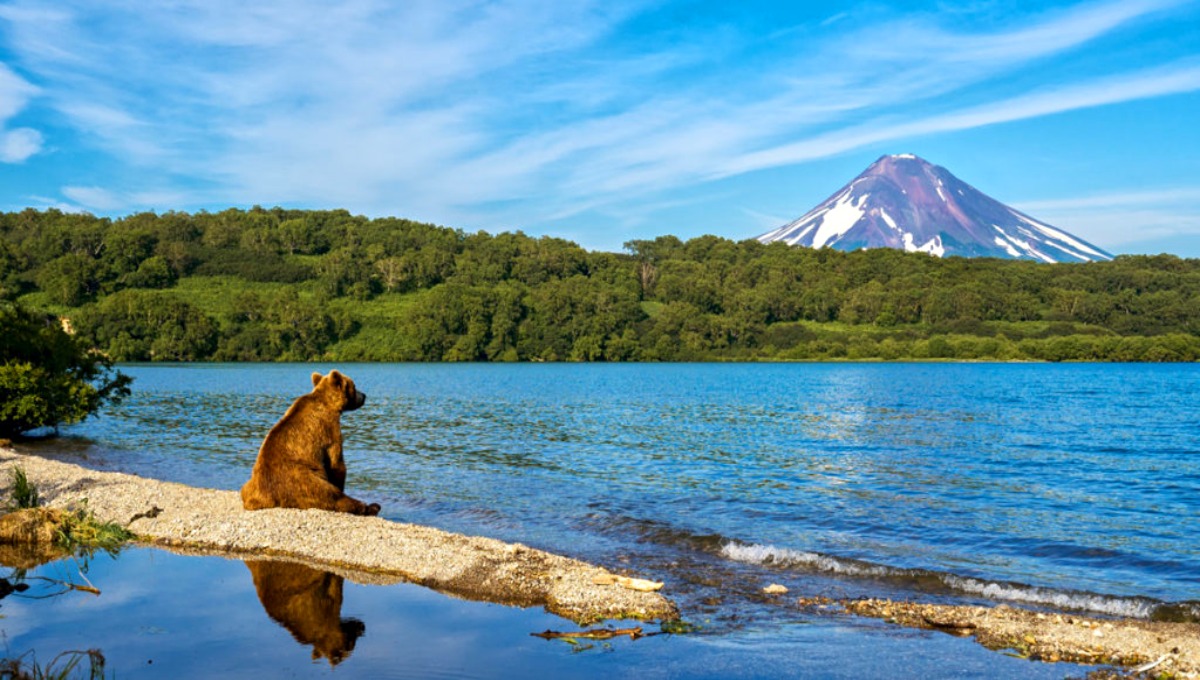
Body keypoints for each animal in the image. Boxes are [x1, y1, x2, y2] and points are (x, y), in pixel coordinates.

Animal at [240, 371, 379, 515]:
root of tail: (263, 498)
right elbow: (336, 463)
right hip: (302, 480)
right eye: (354, 386)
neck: (328, 402)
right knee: (330, 496)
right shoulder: (329, 429)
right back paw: (371, 506)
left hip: (251, 484)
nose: (364, 395)